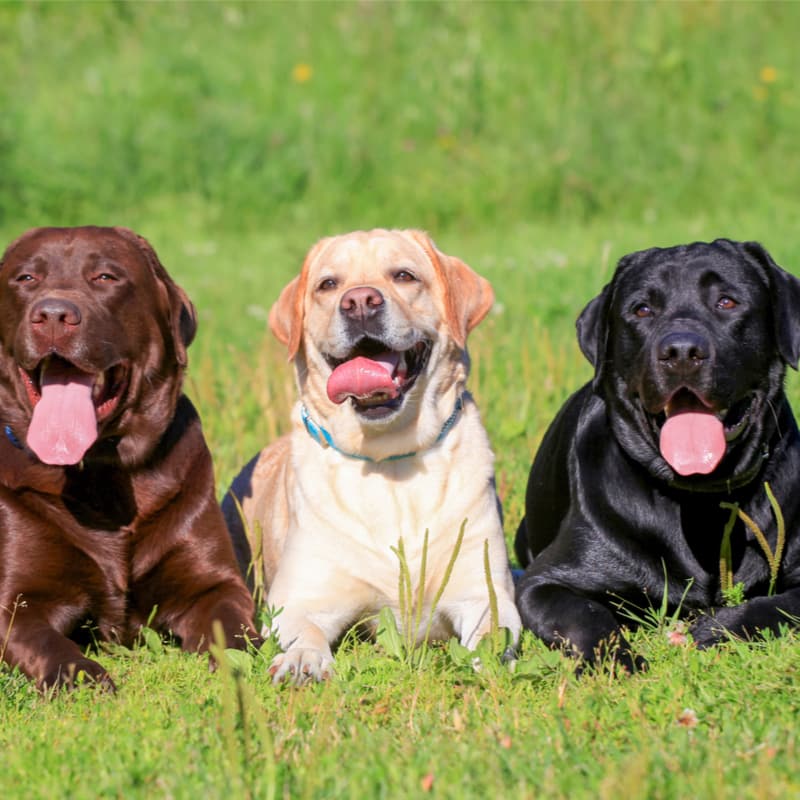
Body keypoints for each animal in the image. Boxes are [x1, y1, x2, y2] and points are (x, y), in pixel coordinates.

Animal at [0, 228, 258, 692]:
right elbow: (48, 644)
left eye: (106, 276)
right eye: (26, 278)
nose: (53, 314)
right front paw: (83, 678)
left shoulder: (215, 583)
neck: (102, 473)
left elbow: (231, 627)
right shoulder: (17, 601)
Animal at [222, 228, 520, 684]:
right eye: (328, 284)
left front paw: (487, 663)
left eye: (404, 275)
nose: (360, 301)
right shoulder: (298, 598)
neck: (390, 458)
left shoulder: (484, 588)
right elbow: (305, 630)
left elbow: (490, 632)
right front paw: (303, 660)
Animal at [516, 238, 800, 668]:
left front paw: (715, 628)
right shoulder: (544, 582)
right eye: (642, 310)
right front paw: (617, 664)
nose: (681, 351)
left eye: (727, 301)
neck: (700, 503)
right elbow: (587, 616)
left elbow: (771, 605)